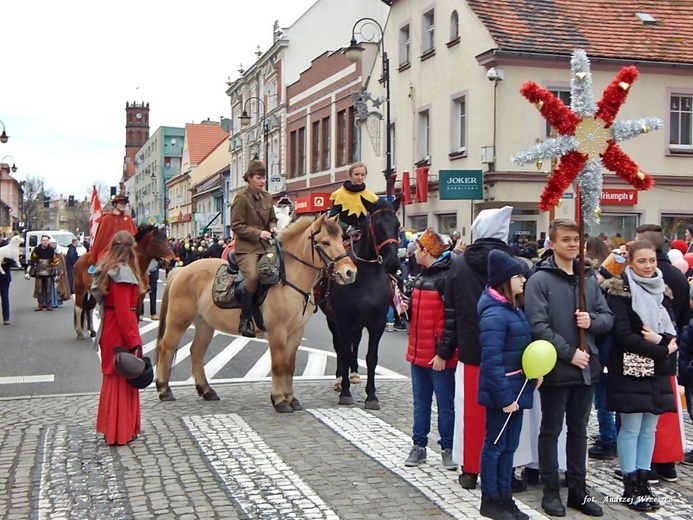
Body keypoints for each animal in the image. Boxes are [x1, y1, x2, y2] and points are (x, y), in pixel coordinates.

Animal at [153, 213, 354, 412]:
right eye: (325, 242)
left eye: (342, 239)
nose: (350, 272)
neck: (287, 279)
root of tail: (181, 270)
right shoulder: (277, 332)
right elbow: (278, 365)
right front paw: (279, 400)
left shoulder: (296, 332)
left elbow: (289, 365)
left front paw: (291, 398)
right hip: (178, 321)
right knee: (166, 347)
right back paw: (164, 389)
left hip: (204, 324)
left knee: (196, 352)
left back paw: (206, 390)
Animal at [322, 198, 402, 410]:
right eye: (377, 226)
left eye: (397, 226)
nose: (393, 263)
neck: (366, 277)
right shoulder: (342, 320)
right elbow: (345, 352)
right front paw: (345, 392)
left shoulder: (378, 322)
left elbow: (371, 357)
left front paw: (371, 396)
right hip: (333, 321)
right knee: (339, 347)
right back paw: (340, 379)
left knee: (355, 342)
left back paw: (355, 374)